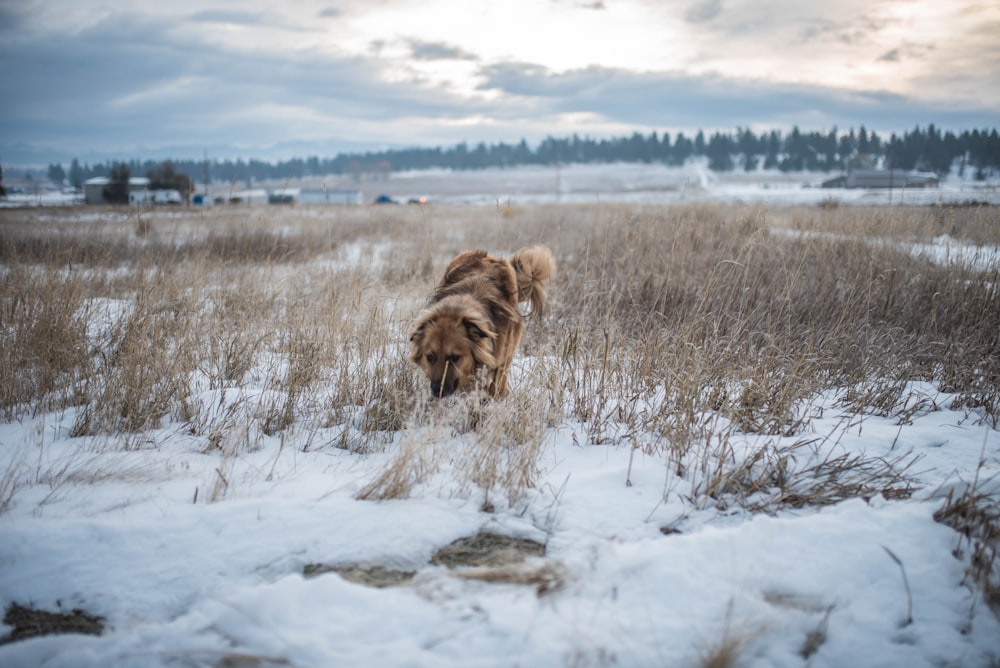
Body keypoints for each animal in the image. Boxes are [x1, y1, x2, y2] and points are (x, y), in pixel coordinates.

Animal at [408, 248, 556, 400]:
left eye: (455, 358)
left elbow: (495, 385)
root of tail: (489, 257)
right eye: (430, 357)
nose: (437, 391)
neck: (458, 308)